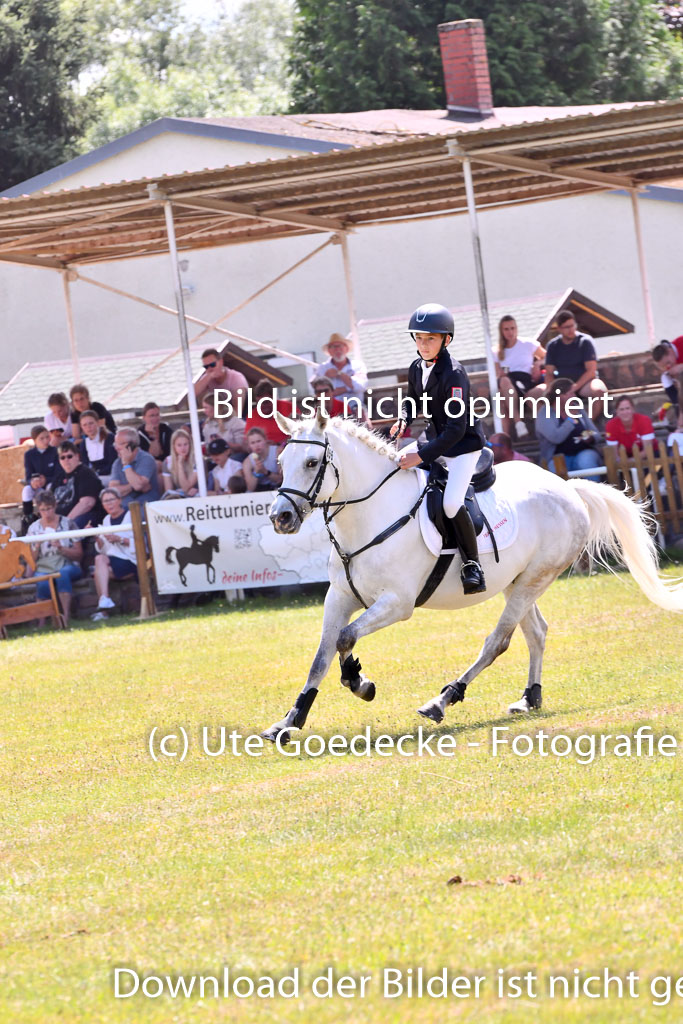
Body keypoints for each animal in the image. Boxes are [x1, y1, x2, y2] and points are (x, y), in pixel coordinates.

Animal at [266, 409, 683, 745]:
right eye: (283, 460)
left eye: (312, 462)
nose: (280, 517)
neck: (370, 514)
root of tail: (568, 488)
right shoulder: (339, 596)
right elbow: (323, 655)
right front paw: (289, 721)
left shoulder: (397, 603)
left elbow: (345, 637)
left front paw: (359, 682)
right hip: (518, 582)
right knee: (536, 633)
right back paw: (529, 698)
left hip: (534, 579)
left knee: (498, 641)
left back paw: (442, 700)